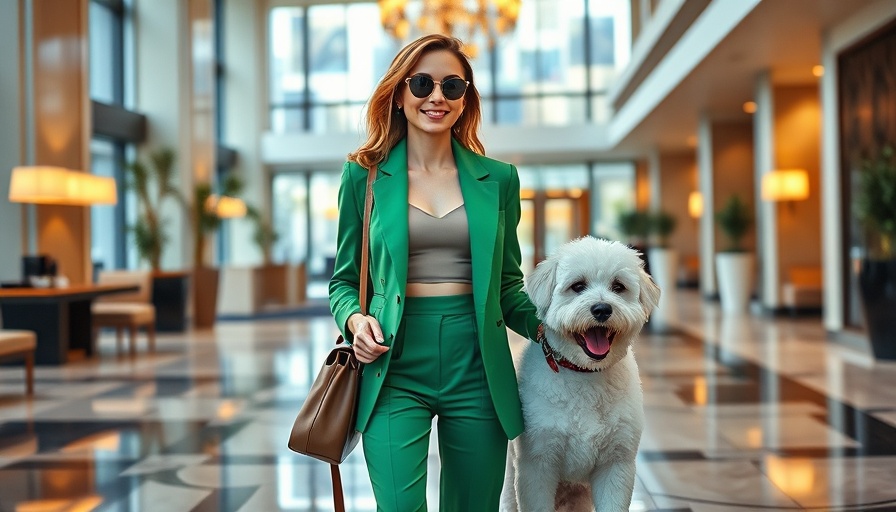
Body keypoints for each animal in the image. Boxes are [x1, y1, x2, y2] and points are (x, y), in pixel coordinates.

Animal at [504, 237, 656, 512]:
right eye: (577, 286)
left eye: (618, 286)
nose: (602, 309)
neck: (585, 374)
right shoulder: (537, 465)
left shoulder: (616, 465)